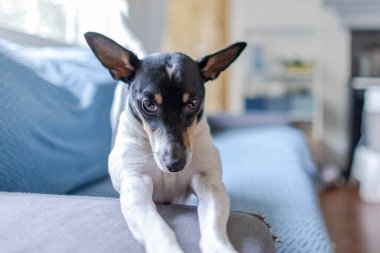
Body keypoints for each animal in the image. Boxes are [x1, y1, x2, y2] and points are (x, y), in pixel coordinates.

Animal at [84, 32, 246, 253]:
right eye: (149, 104)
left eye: (192, 103)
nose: (175, 164)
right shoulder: (136, 183)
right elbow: (155, 225)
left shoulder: (208, 181)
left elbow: (213, 222)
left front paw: (220, 247)